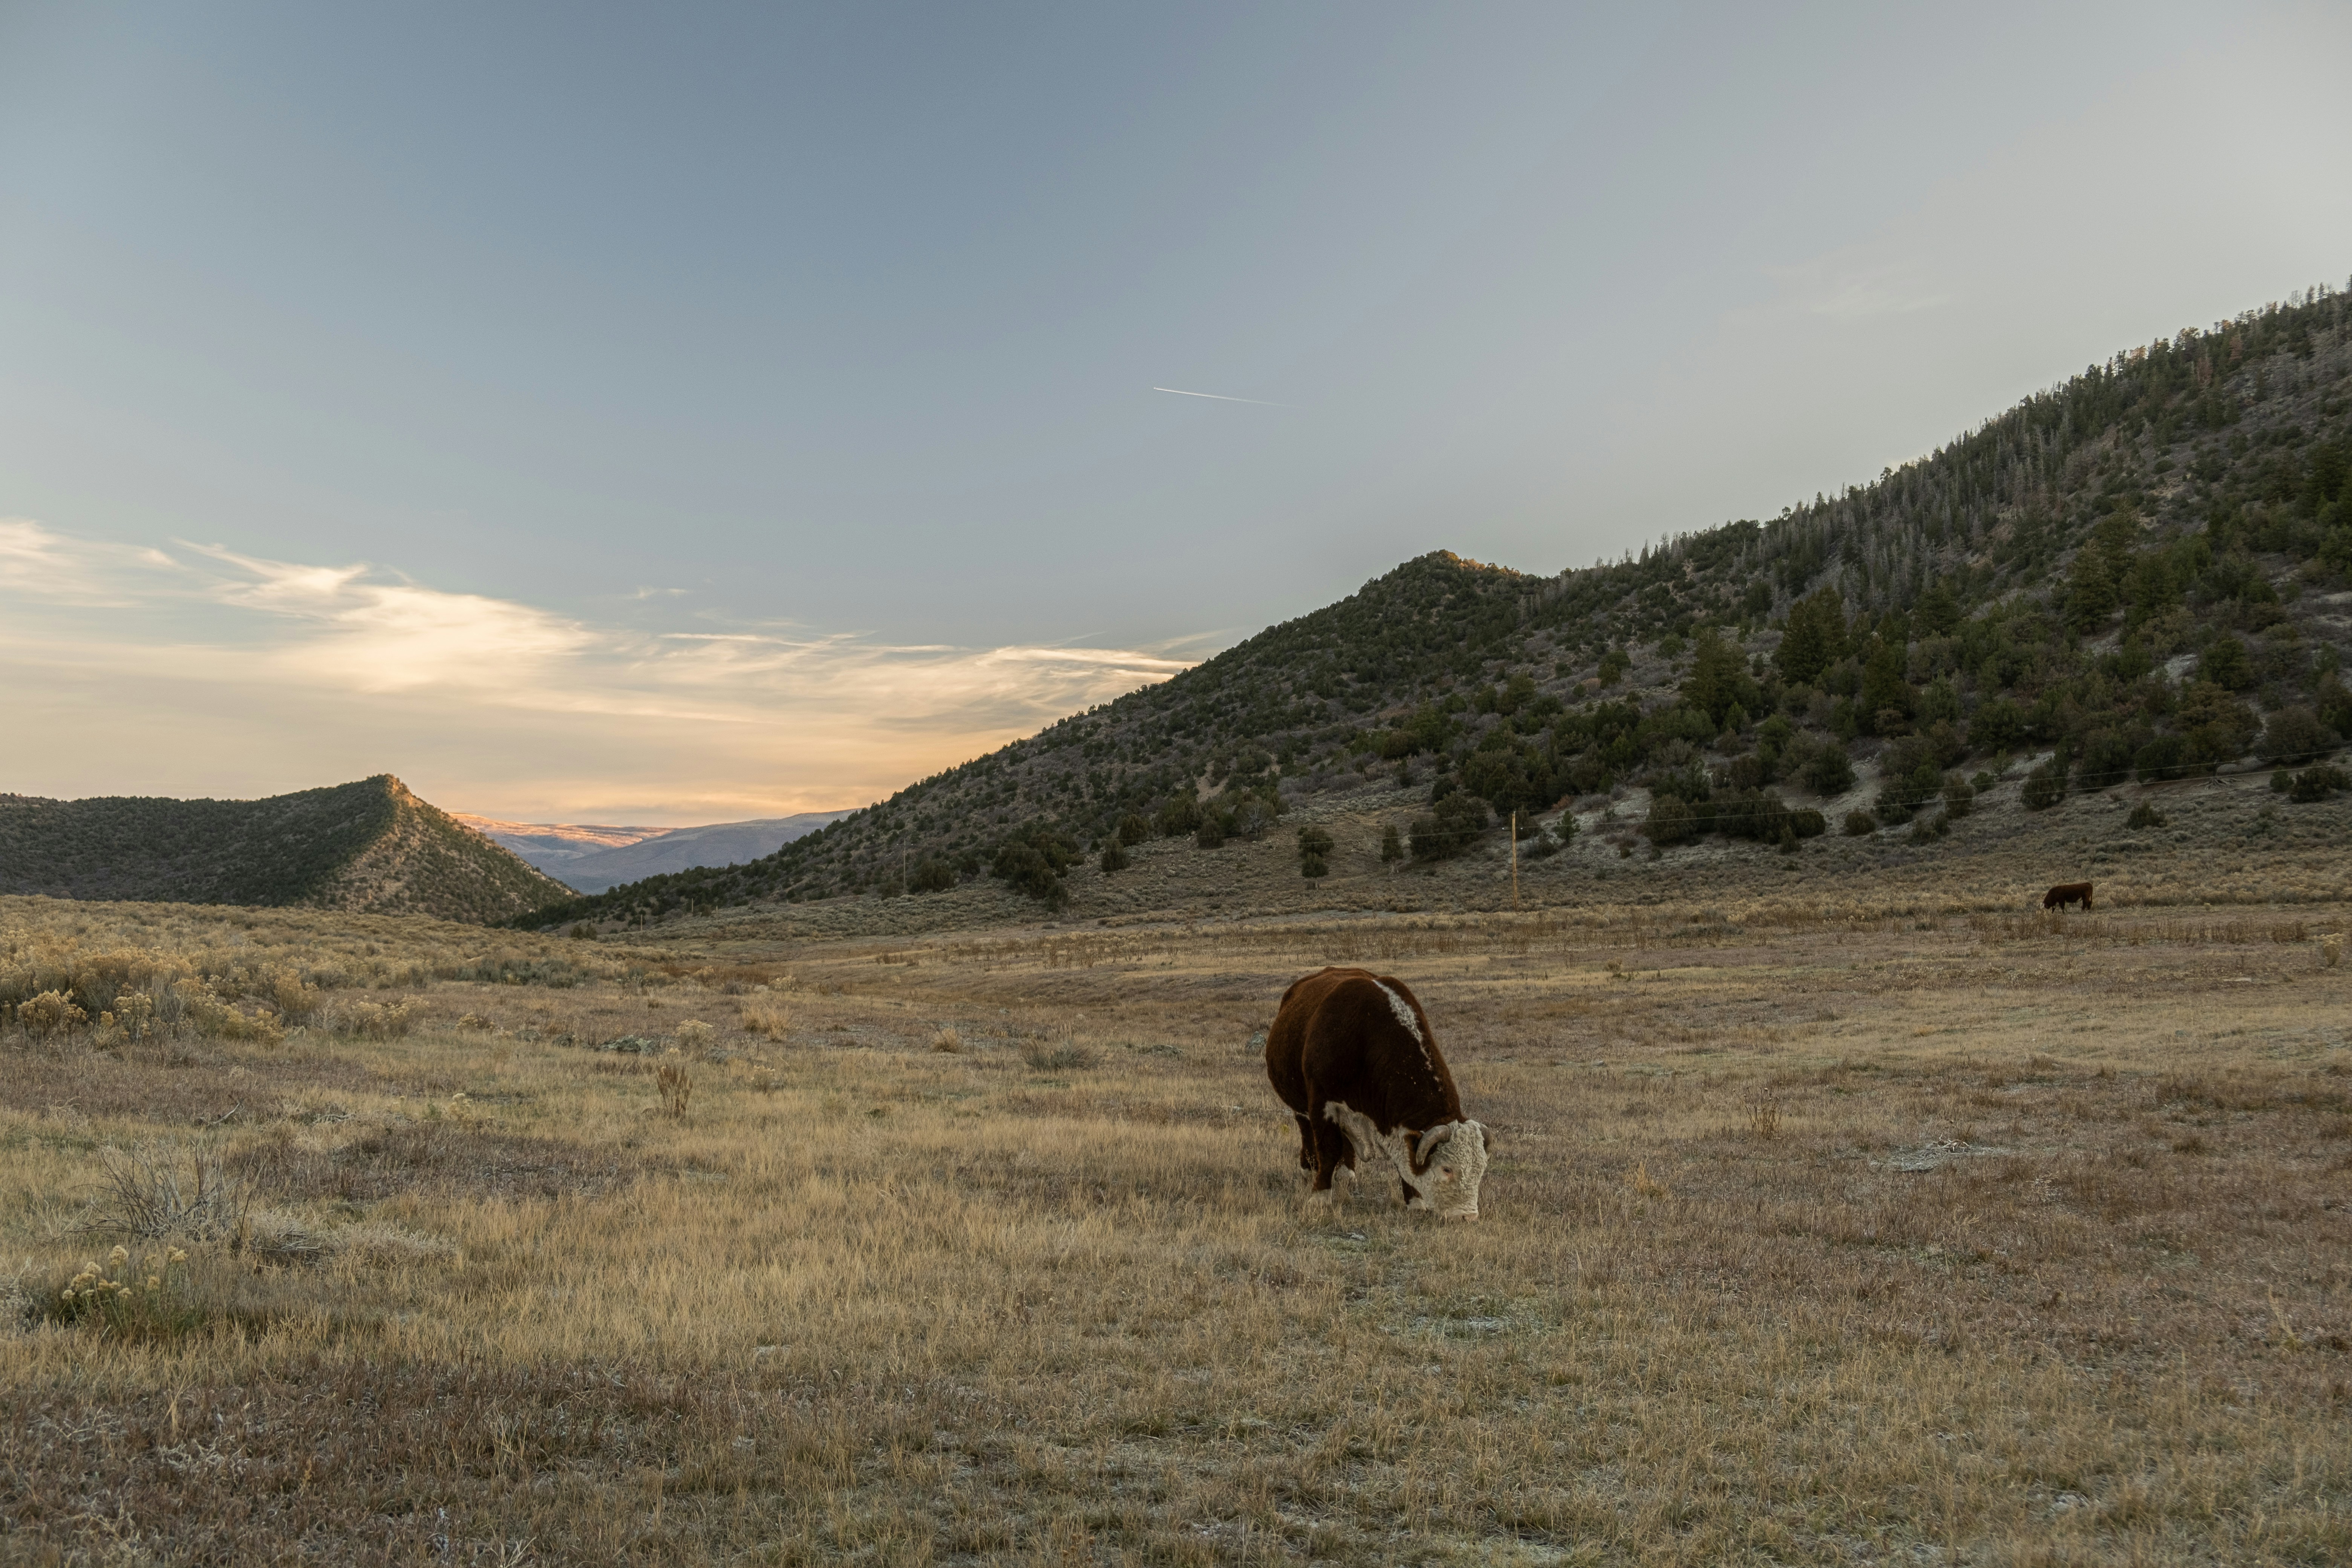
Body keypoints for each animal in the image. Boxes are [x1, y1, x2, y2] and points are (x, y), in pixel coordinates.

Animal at [1263, 966, 1490, 1220]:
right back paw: (1308, 1169)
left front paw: (1414, 1202)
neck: (1365, 1036)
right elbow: (1329, 1150)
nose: (1468, 1216)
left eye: (1481, 1169)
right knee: (1306, 1131)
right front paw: (1320, 1197)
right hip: (1300, 1106)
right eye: (1447, 1169)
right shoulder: (1322, 1103)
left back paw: (1346, 1174)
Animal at [2042, 881, 2094, 912]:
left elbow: (2063, 907)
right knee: (2088, 903)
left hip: (2086, 898)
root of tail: (2088, 883)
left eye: (2047, 902)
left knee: (2085, 903)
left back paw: (2082, 910)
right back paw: (2088, 910)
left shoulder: (2062, 901)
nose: (2045, 907)